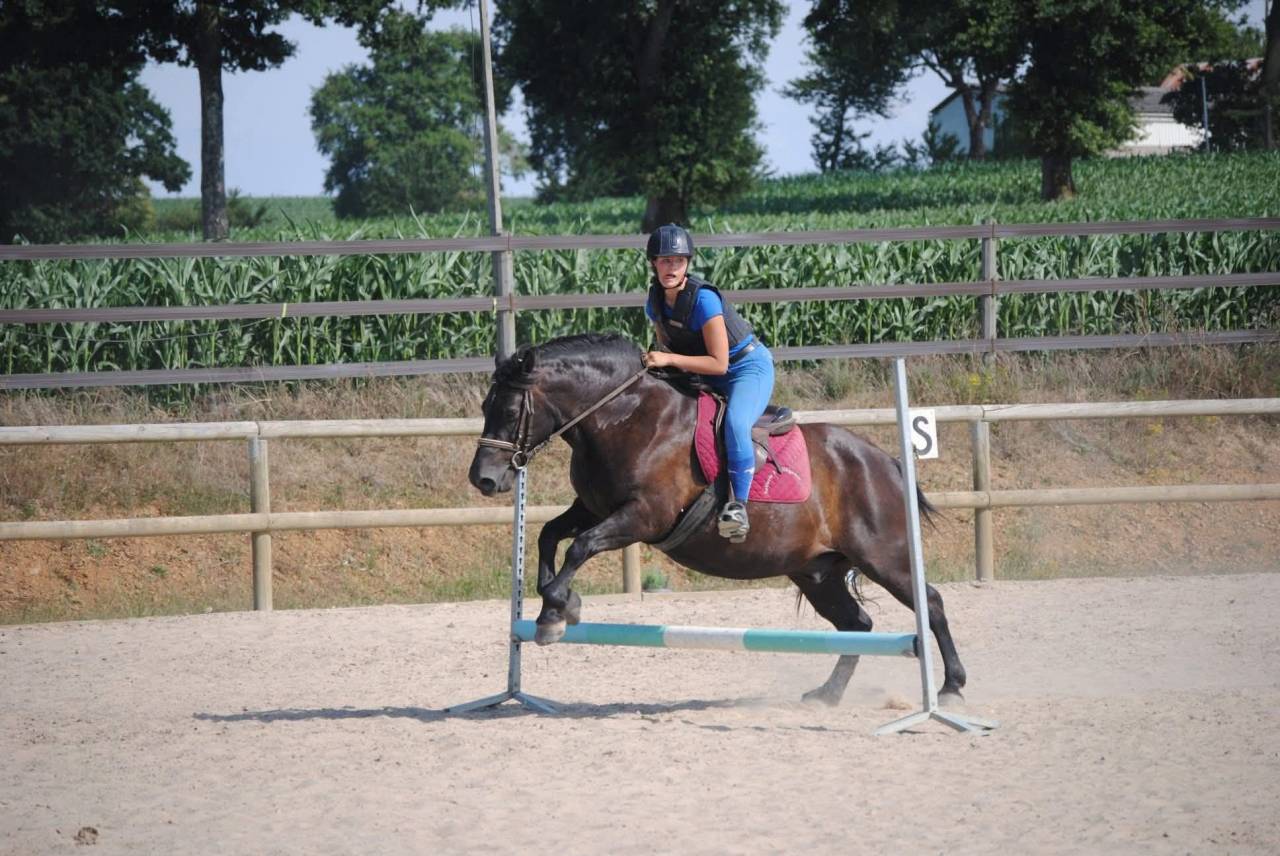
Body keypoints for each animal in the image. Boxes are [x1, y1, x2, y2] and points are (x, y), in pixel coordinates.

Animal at [467, 333, 968, 705]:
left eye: (509, 410)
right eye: (484, 408)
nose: (484, 479)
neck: (623, 417)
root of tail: (886, 461)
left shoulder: (643, 516)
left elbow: (580, 545)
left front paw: (556, 611)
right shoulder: (593, 508)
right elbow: (549, 536)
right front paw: (560, 605)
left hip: (885, 556)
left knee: (931, 603)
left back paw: (950, 688)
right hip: (817, 572)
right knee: (857, 626)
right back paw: (827, 695)